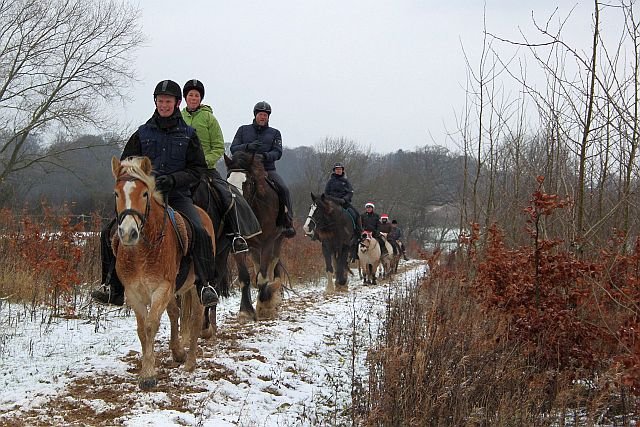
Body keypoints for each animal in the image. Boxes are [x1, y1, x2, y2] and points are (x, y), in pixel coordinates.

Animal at [111, 156, 214, 390]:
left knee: (196, 319)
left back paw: (190, 362)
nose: (128, 233)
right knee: (176, 313)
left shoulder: (162, 288)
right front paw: (147, 370)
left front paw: (149, 375)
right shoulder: (134, 292)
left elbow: (151, 326)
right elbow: (142, 329)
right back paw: (178, 352)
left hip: (196, 287)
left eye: (144, 194)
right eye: (116, 193)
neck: (141, 252)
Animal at [224, 151, 285, 321]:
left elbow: (263, 276)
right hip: (253, 248)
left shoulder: (268, 242)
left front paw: (264, 306)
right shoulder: (238, 245)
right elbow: (244, 277)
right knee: (259, 265)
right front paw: (246, 311)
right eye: (228, 181)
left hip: (277, 240)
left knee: (271, 265)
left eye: (247, 183)